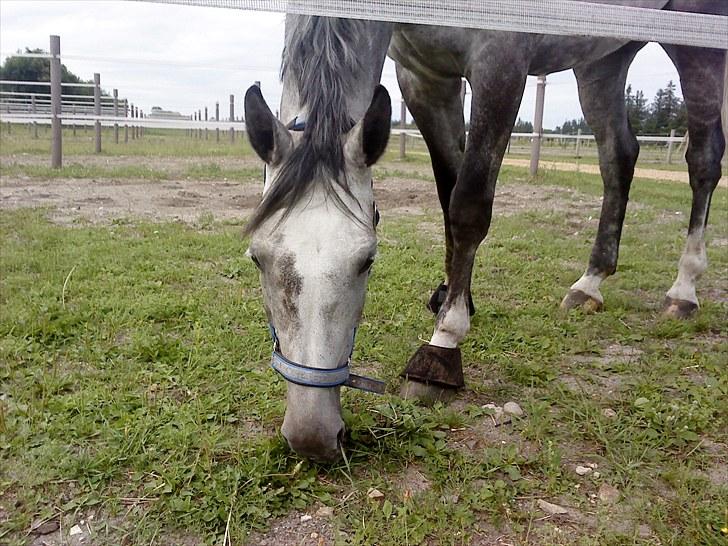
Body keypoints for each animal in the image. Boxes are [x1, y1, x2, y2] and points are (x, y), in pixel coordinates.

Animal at [242, 0, 724, 460]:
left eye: (368, 260)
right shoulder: (424, 77)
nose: (311, 434)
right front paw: (456, 297)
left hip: (695, 43)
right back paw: (590, 282)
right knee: (618, 156)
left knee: (704, 158)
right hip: (603, 59)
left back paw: (684, 289)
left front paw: (443, 345)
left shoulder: (500, 61)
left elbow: (469, 204)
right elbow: (447, 188)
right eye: (257, 258)